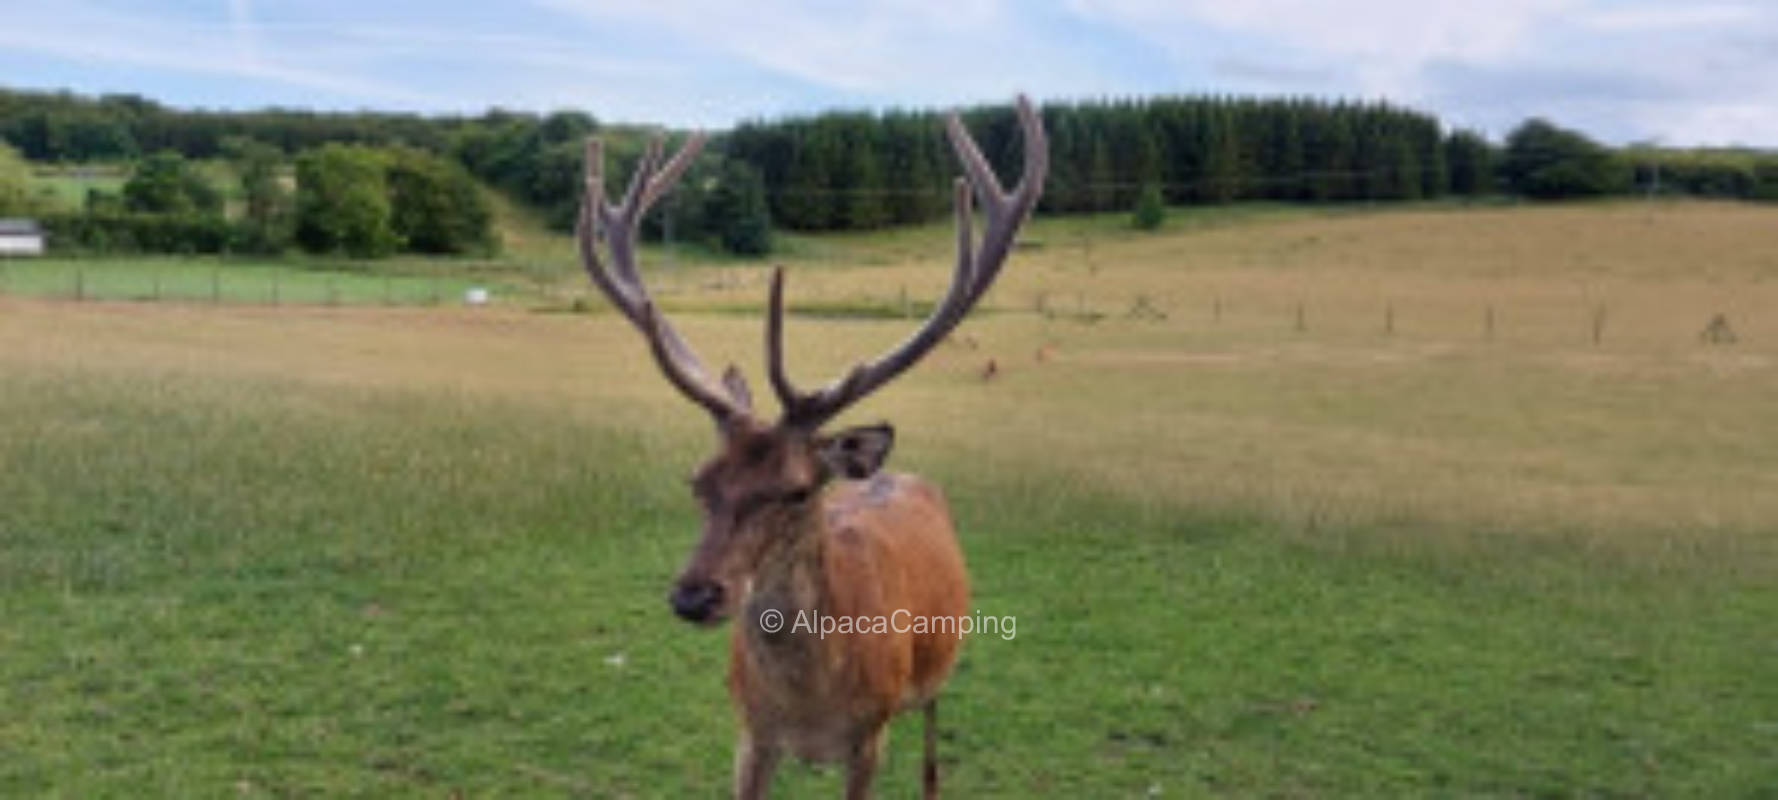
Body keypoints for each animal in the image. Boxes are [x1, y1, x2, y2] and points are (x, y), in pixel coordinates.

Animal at [568, 96, 1038, 796]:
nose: (694, 596)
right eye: (698, 480)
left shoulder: (870, 738)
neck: (809, 706)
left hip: (936, 673)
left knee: (932, 755)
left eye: (795, 490)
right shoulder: (749, 735)